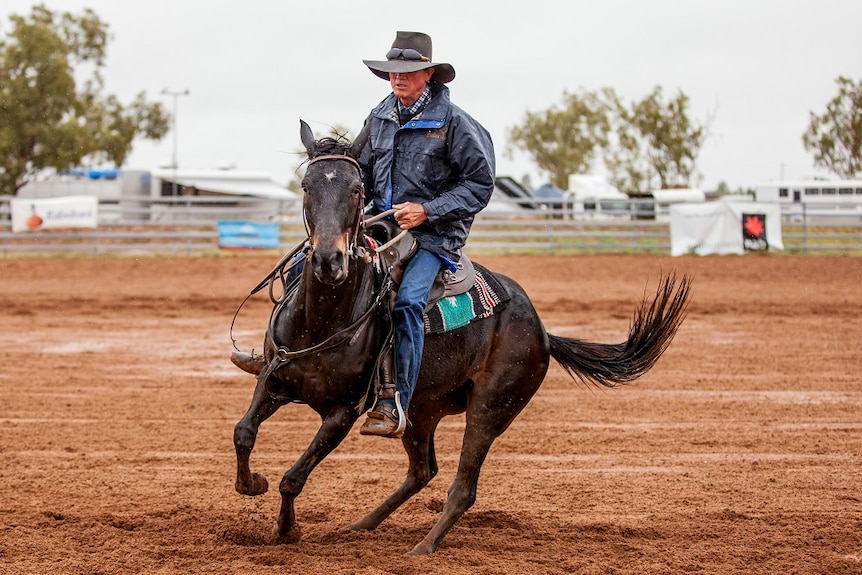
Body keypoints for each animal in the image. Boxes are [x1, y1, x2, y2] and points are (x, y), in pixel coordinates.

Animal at [233, 119, 692, 556]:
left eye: (356, 189)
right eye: (306, 186)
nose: (330, 261)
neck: (323, 319)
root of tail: (541, 330)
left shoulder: (342, 414)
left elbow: (293, 477)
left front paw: (286, 529)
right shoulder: (273, 381)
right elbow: (243, 432)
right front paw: (250, 483)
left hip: (490, 409)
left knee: (463, 487)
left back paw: (424, 546)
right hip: (421, 410)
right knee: (422, 472)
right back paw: (361, 525)